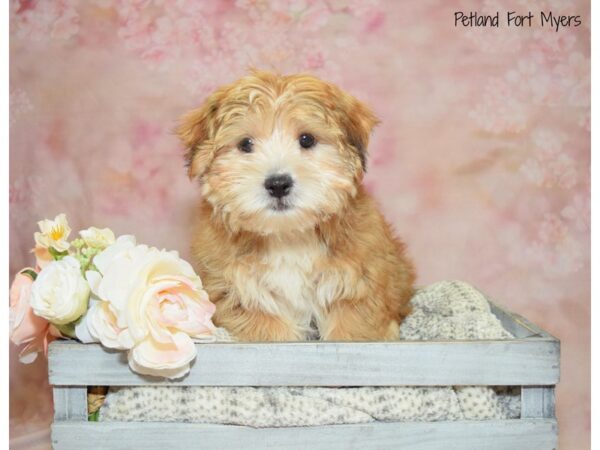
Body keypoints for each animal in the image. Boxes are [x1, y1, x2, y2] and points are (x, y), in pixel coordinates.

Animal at [176, 71, 414, 342]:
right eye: (246, 144)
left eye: (306, 139)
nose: (278, 184)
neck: (288, 236)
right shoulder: (238, 292)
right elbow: (269, 330)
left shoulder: (358, 284)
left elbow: (352, 329)